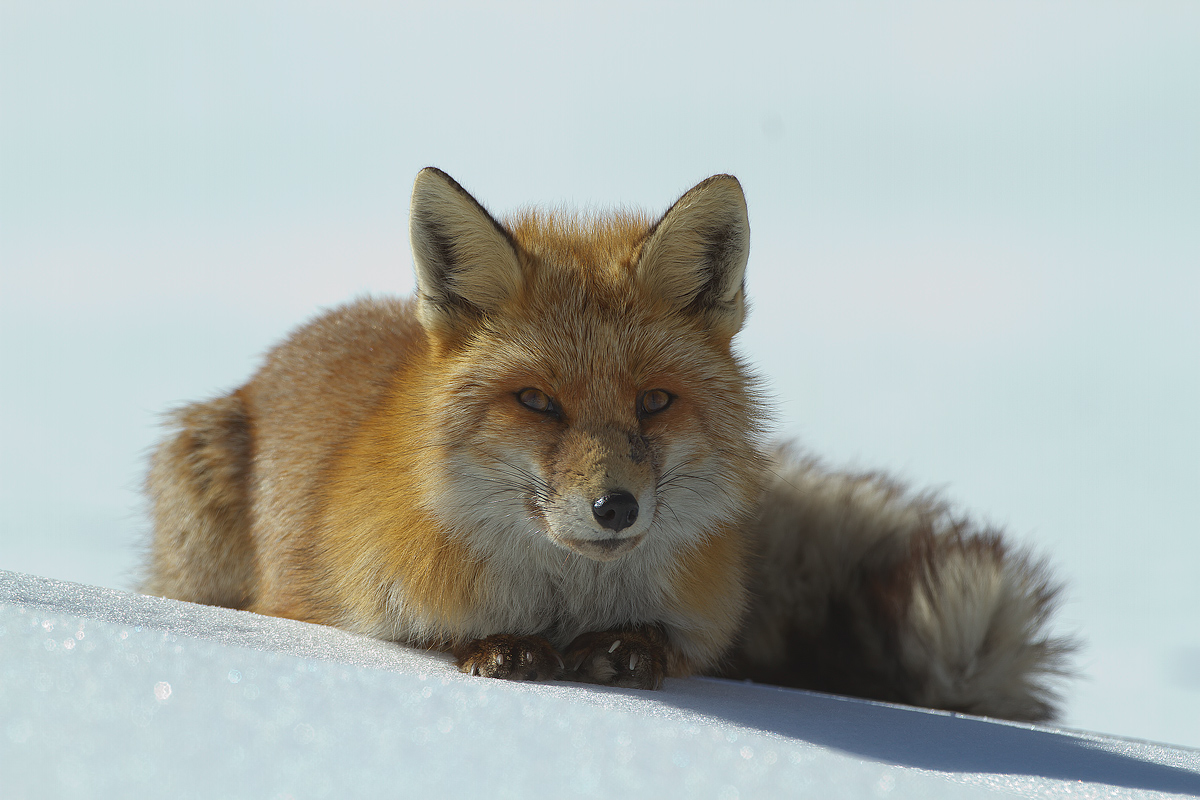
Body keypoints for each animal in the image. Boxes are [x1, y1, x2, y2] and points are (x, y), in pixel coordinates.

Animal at [143, 168, 1073, 721]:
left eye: (654, 402)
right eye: (537, 402)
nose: (615, 506)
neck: (567, 602)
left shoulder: (695, 618)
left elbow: (660, 641)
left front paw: (627, 650)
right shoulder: (343, 605)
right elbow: (434, 635)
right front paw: (498, 646)